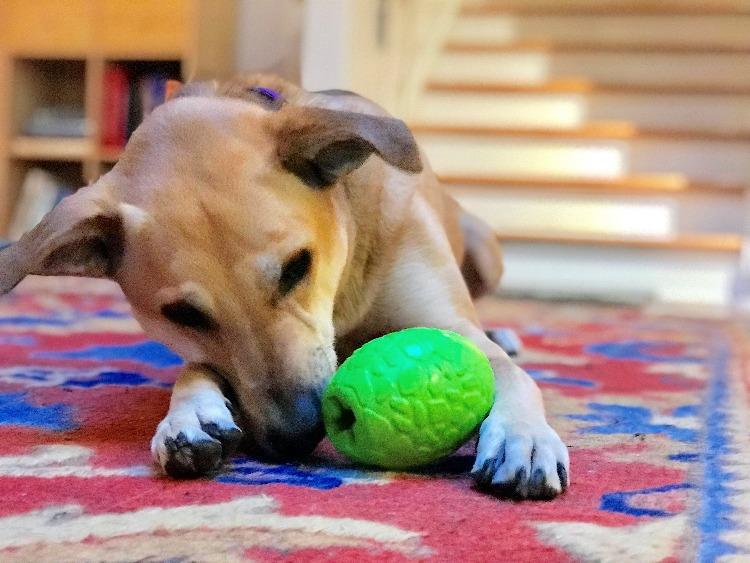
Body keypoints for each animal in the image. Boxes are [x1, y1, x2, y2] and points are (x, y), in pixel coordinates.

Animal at [0, 76, 568, 502]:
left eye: (297, 267)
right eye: (183, 314)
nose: (296, 437)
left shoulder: (451, 327)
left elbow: (512, 374)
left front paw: (523, 437)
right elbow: (194, 369)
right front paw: (188, 416)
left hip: (488, 252)